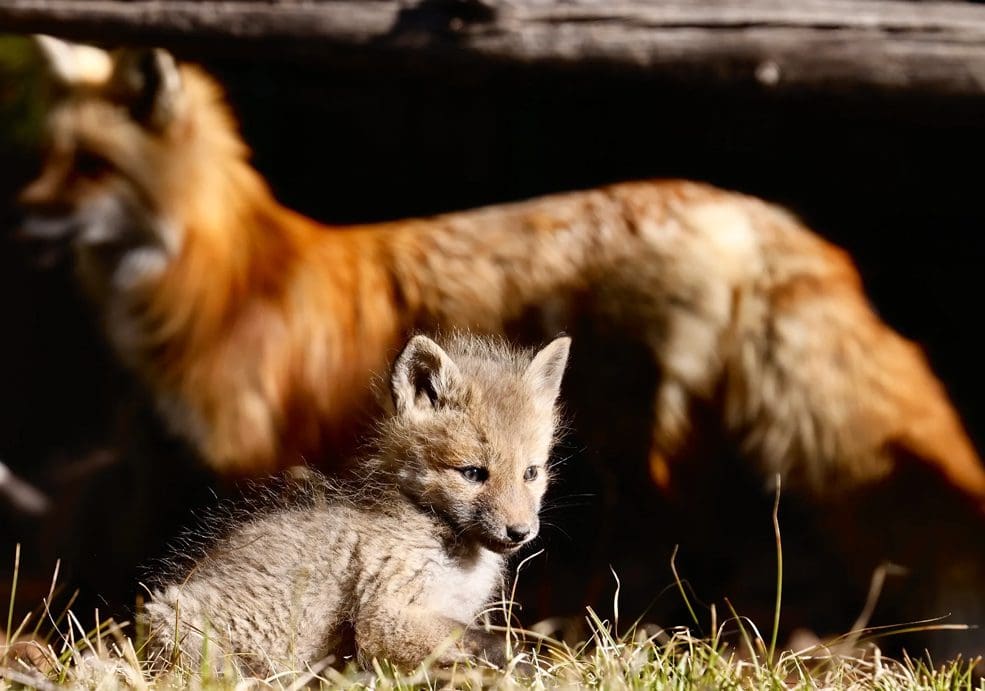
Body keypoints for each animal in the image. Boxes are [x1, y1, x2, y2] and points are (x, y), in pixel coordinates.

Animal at [17, 36, 985, 656]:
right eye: (54, 158)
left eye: (90, 167)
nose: (22, 214)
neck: (227, 280)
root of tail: (740, 209)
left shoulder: (259, 453)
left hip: (647, 461)